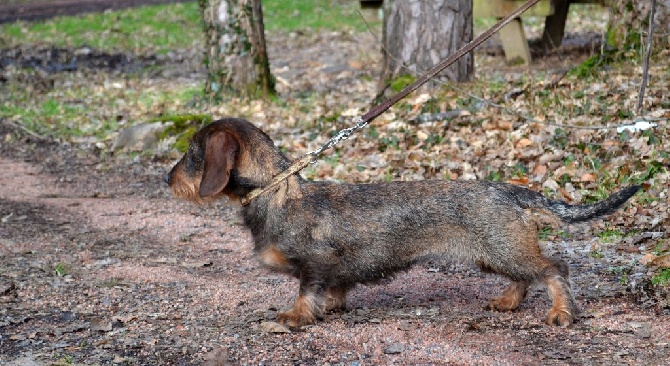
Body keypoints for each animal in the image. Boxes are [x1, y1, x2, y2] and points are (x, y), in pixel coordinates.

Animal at [165, 118, 644, 328]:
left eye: (190, 153)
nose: (165, 179)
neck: (277, 193)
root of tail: (509, 189)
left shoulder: (314, 265)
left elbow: (307, 292)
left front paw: (297, 316)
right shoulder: (333, 270)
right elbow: (335, 290)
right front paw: (331, 307)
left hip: (507, 250)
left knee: (554, 269)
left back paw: (562, 312)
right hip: (496, 254)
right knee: (526, 278)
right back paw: (508, 302)